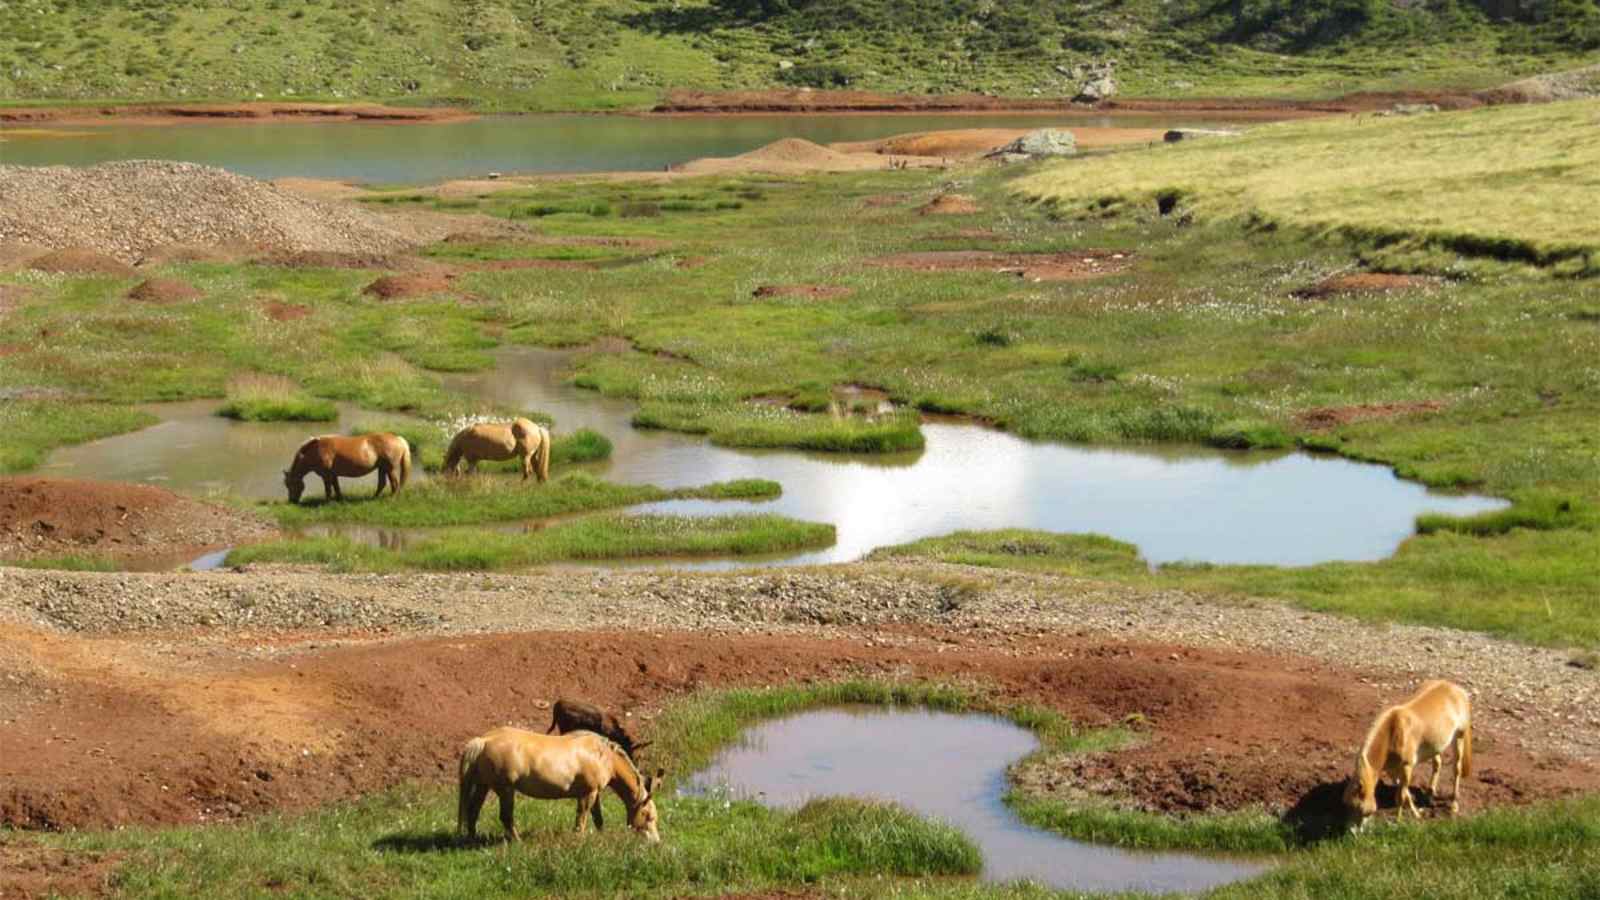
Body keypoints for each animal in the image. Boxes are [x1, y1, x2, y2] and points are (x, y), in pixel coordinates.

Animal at [286, 432, 416, 499]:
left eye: (291, 485)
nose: (292, 501)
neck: (317, 449)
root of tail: (399, 439)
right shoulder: (333, 474)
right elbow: (336, 487)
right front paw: (339, 499)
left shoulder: (326, 475)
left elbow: (328, 489)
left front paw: (327, 502)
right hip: (382, 468)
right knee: (382, 484)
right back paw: (373, 497)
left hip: (390, 468)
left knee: (395, 484)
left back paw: (391, 499)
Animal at [457, 720, 662, 839]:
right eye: (648, 816)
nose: (655, 842)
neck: (604, 756)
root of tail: (483, 741)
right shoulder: (587, 794)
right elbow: (581, 819)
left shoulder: (594, 793)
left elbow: (598, 818)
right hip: (505, 790)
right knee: (506, 817)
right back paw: (517, 841)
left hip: (483, 786)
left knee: (473, 811)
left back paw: (472, 840)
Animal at [1337, 675, 1472, 826]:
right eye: (1346, 805)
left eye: (1357, 808)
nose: (1351, 831)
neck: (1393, 731)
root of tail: (1458, 690)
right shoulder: (1393, 770)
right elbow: (1404, 791)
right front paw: (1417, 813)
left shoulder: (1407, 766)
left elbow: (1401, 795)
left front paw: (1399, 821)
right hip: (1436, 745)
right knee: (1437, 763)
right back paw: (1430, 794)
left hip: (1459, 736)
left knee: (1456, 769)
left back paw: (1454, 805)